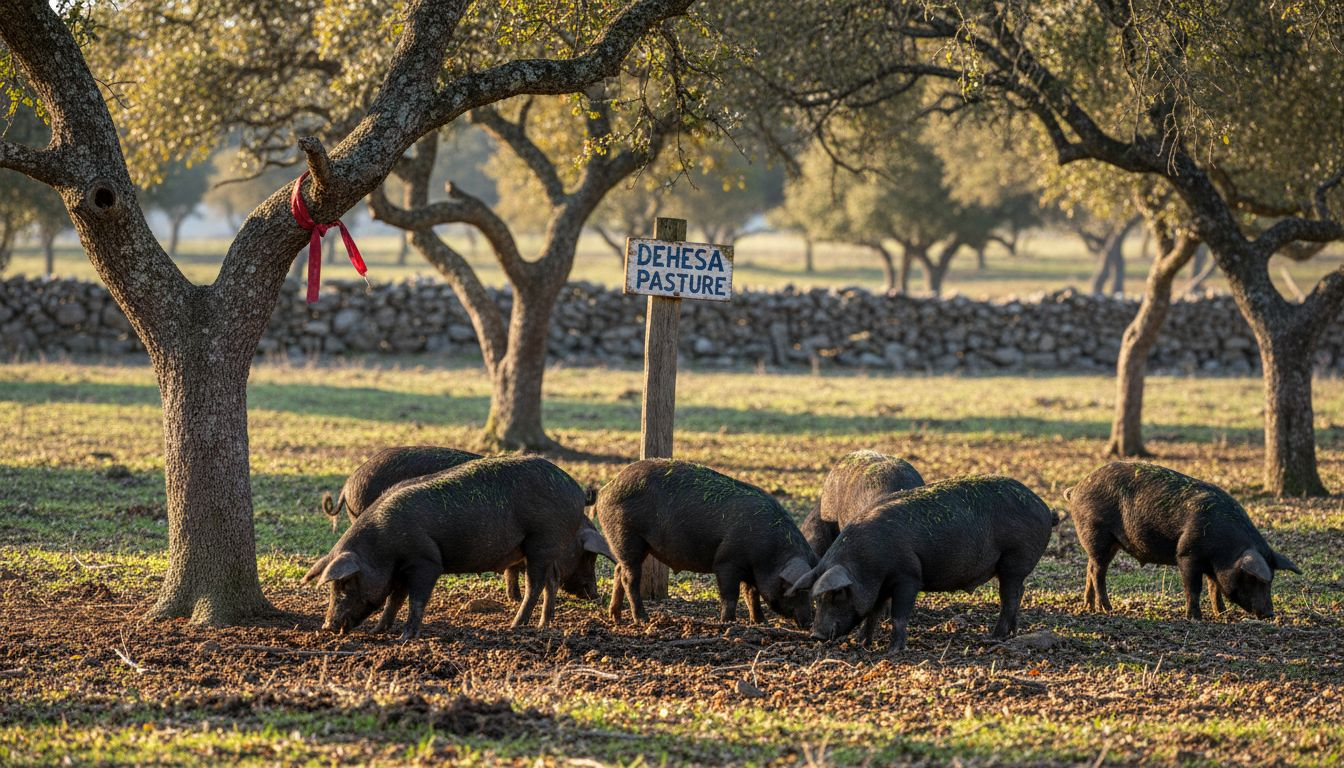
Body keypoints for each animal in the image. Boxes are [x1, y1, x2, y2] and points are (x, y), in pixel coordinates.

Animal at [303, 456, 609, 639]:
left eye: (345, 584)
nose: (327, 626)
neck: (381, 547)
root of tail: (576, 489)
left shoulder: (425, 561)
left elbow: (415, 600)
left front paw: (405, 637)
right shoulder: (400, 570)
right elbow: (394, 600)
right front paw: (380, 631)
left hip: (542, 541)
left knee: (536, 585)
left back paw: (514, 625)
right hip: (543, 548)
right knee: (550, 582)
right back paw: (543, 625)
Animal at [595, 459, 817, 628]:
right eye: (798, 590)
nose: (810, 622)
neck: (771, 554)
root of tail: (604, 490)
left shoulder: (750, 571)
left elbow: (751, 594)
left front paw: (761, 623)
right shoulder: (727, 562)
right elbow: (731, 594)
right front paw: (728, 622)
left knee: (618, 571)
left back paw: (615, 617)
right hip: (628, 536)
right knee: (629, 578)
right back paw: (642, 620)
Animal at [790, 475, 1057, 651]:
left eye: (836, 594)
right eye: (818, 598)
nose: (816, 635)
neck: (866, 563)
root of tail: (1045, 509)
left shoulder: (908, 577)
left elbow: (899, 616)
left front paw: (893, 651)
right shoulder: (880, 586)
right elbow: (873, 613)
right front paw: (861, 643)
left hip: (1015, 559)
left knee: (1009, 597)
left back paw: (993, 637)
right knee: (1018, 593)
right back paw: (1010, 633)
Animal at [1067, 461, 1302, 620]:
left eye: (1271, 580)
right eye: (1254, 578)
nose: (1270, 613)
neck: (1226, 549)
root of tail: (1076, 488)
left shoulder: (1213, 566)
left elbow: (1214, 587)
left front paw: (1221, 613)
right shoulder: (1187, 554)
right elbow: (1194, 588)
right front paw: (1195, 618)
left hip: (1108, 544)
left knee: (1090, 568)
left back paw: (1089, 607)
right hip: (1098, 534)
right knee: (1097, 572)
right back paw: (1107, 609)